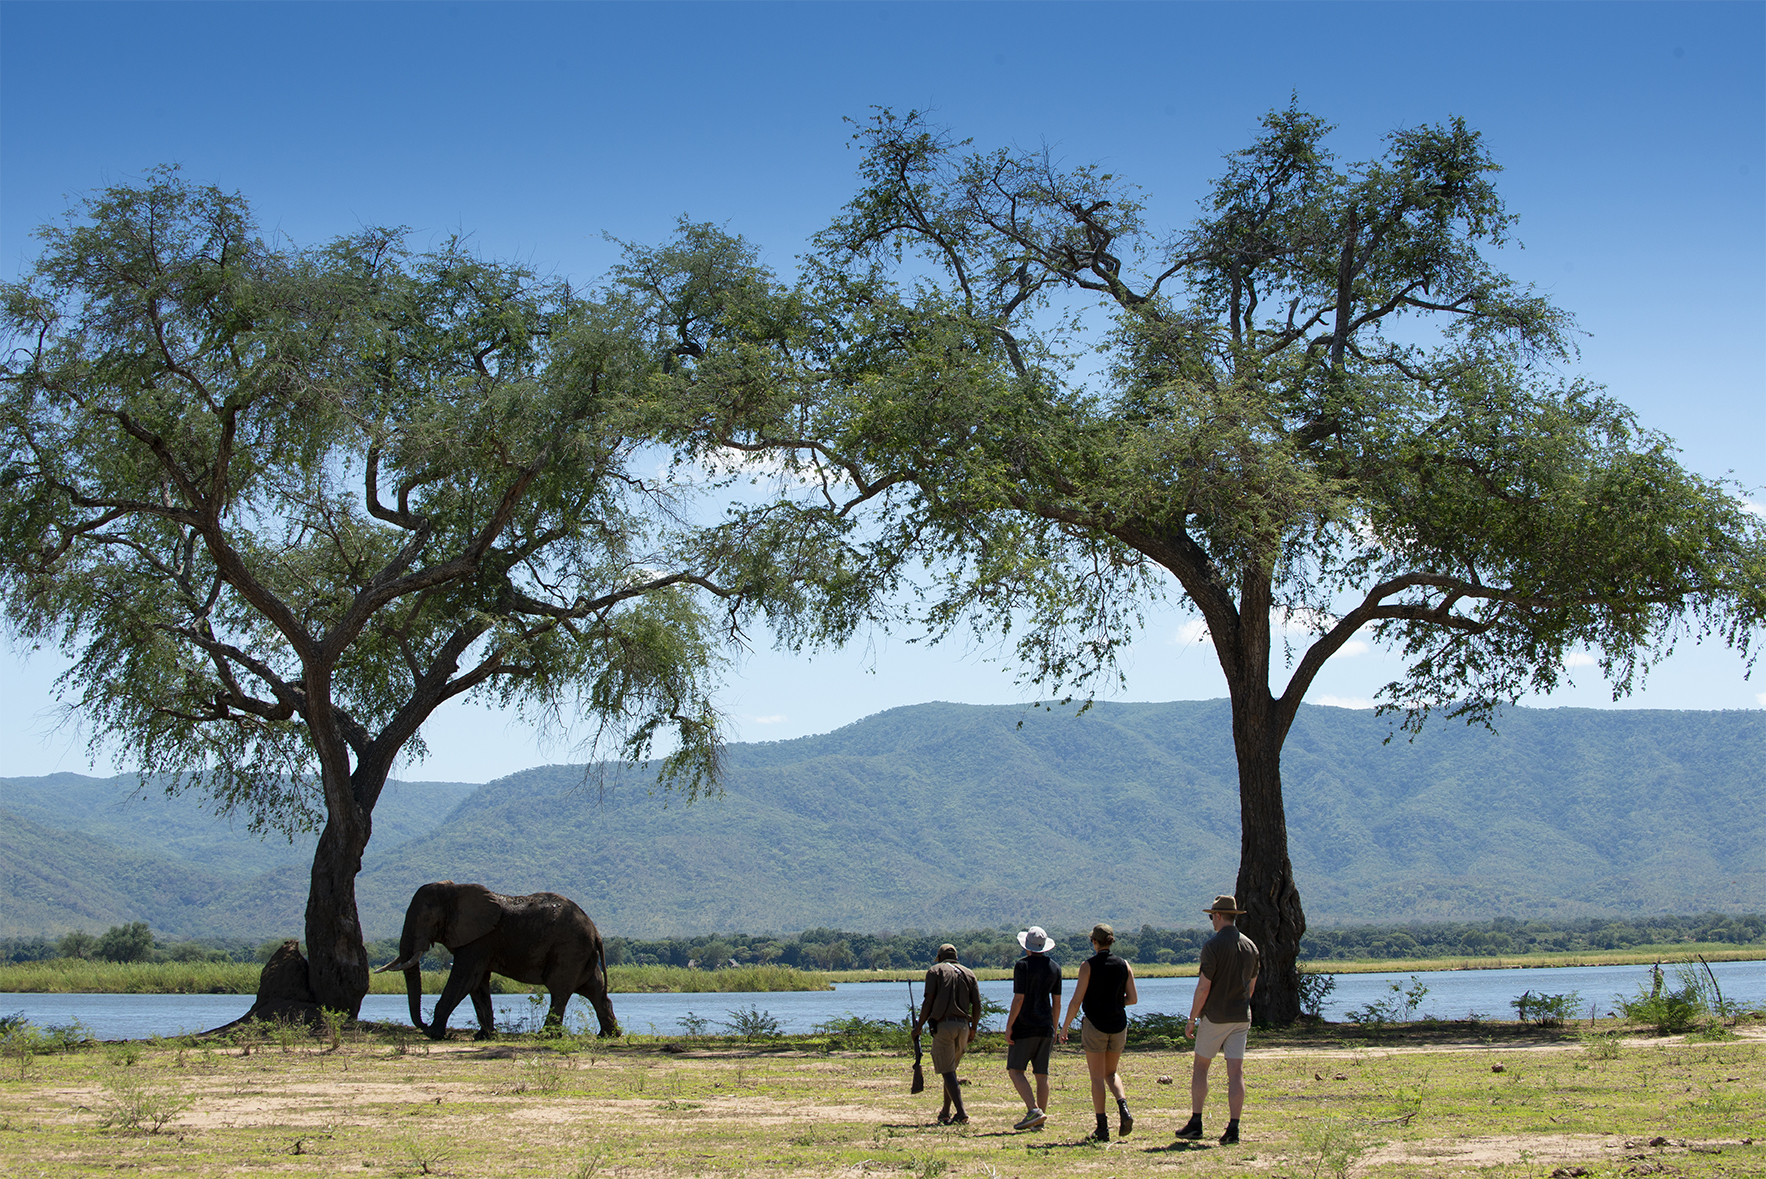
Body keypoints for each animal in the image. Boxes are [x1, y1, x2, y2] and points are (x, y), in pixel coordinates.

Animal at [375, 881, 619, 1039]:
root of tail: (595, 932)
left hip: (569, 948)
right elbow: (477, 984)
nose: (423, 1025)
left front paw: (434, 1034)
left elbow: (463, 979)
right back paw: (608, 1035)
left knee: (559, 990)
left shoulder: (479, 939)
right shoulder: (478, 941)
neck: (456, 889)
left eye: (427, 918)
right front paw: (484, 1036)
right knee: (593, 989)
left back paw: (546, 1036)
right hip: (581, 952)